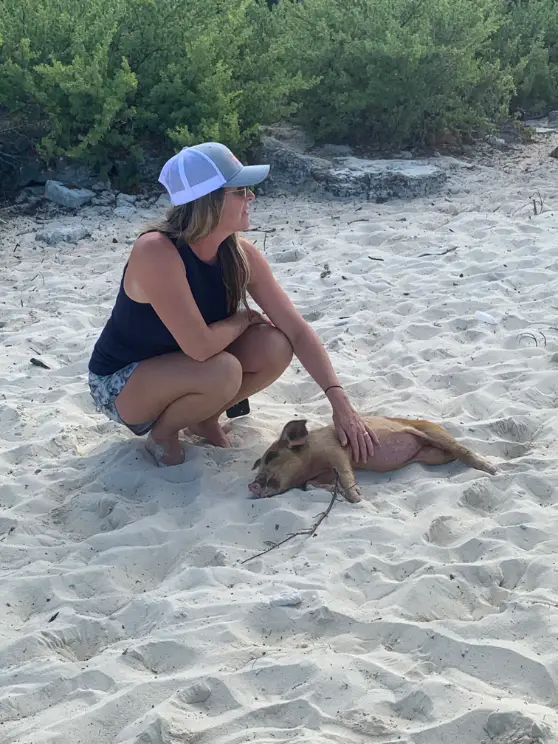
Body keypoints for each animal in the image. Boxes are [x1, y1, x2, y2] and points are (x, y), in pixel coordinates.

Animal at [249, 416, 498, 503]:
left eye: (271, 456)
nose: (252, 485)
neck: (311, 464)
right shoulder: (321, 473)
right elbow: (311, 485)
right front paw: (335, 491)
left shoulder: (335, 451)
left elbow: (345, 473)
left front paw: (357, 498)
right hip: (433, 456)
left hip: (433, 433)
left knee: (463, 450)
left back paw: (493, 470)